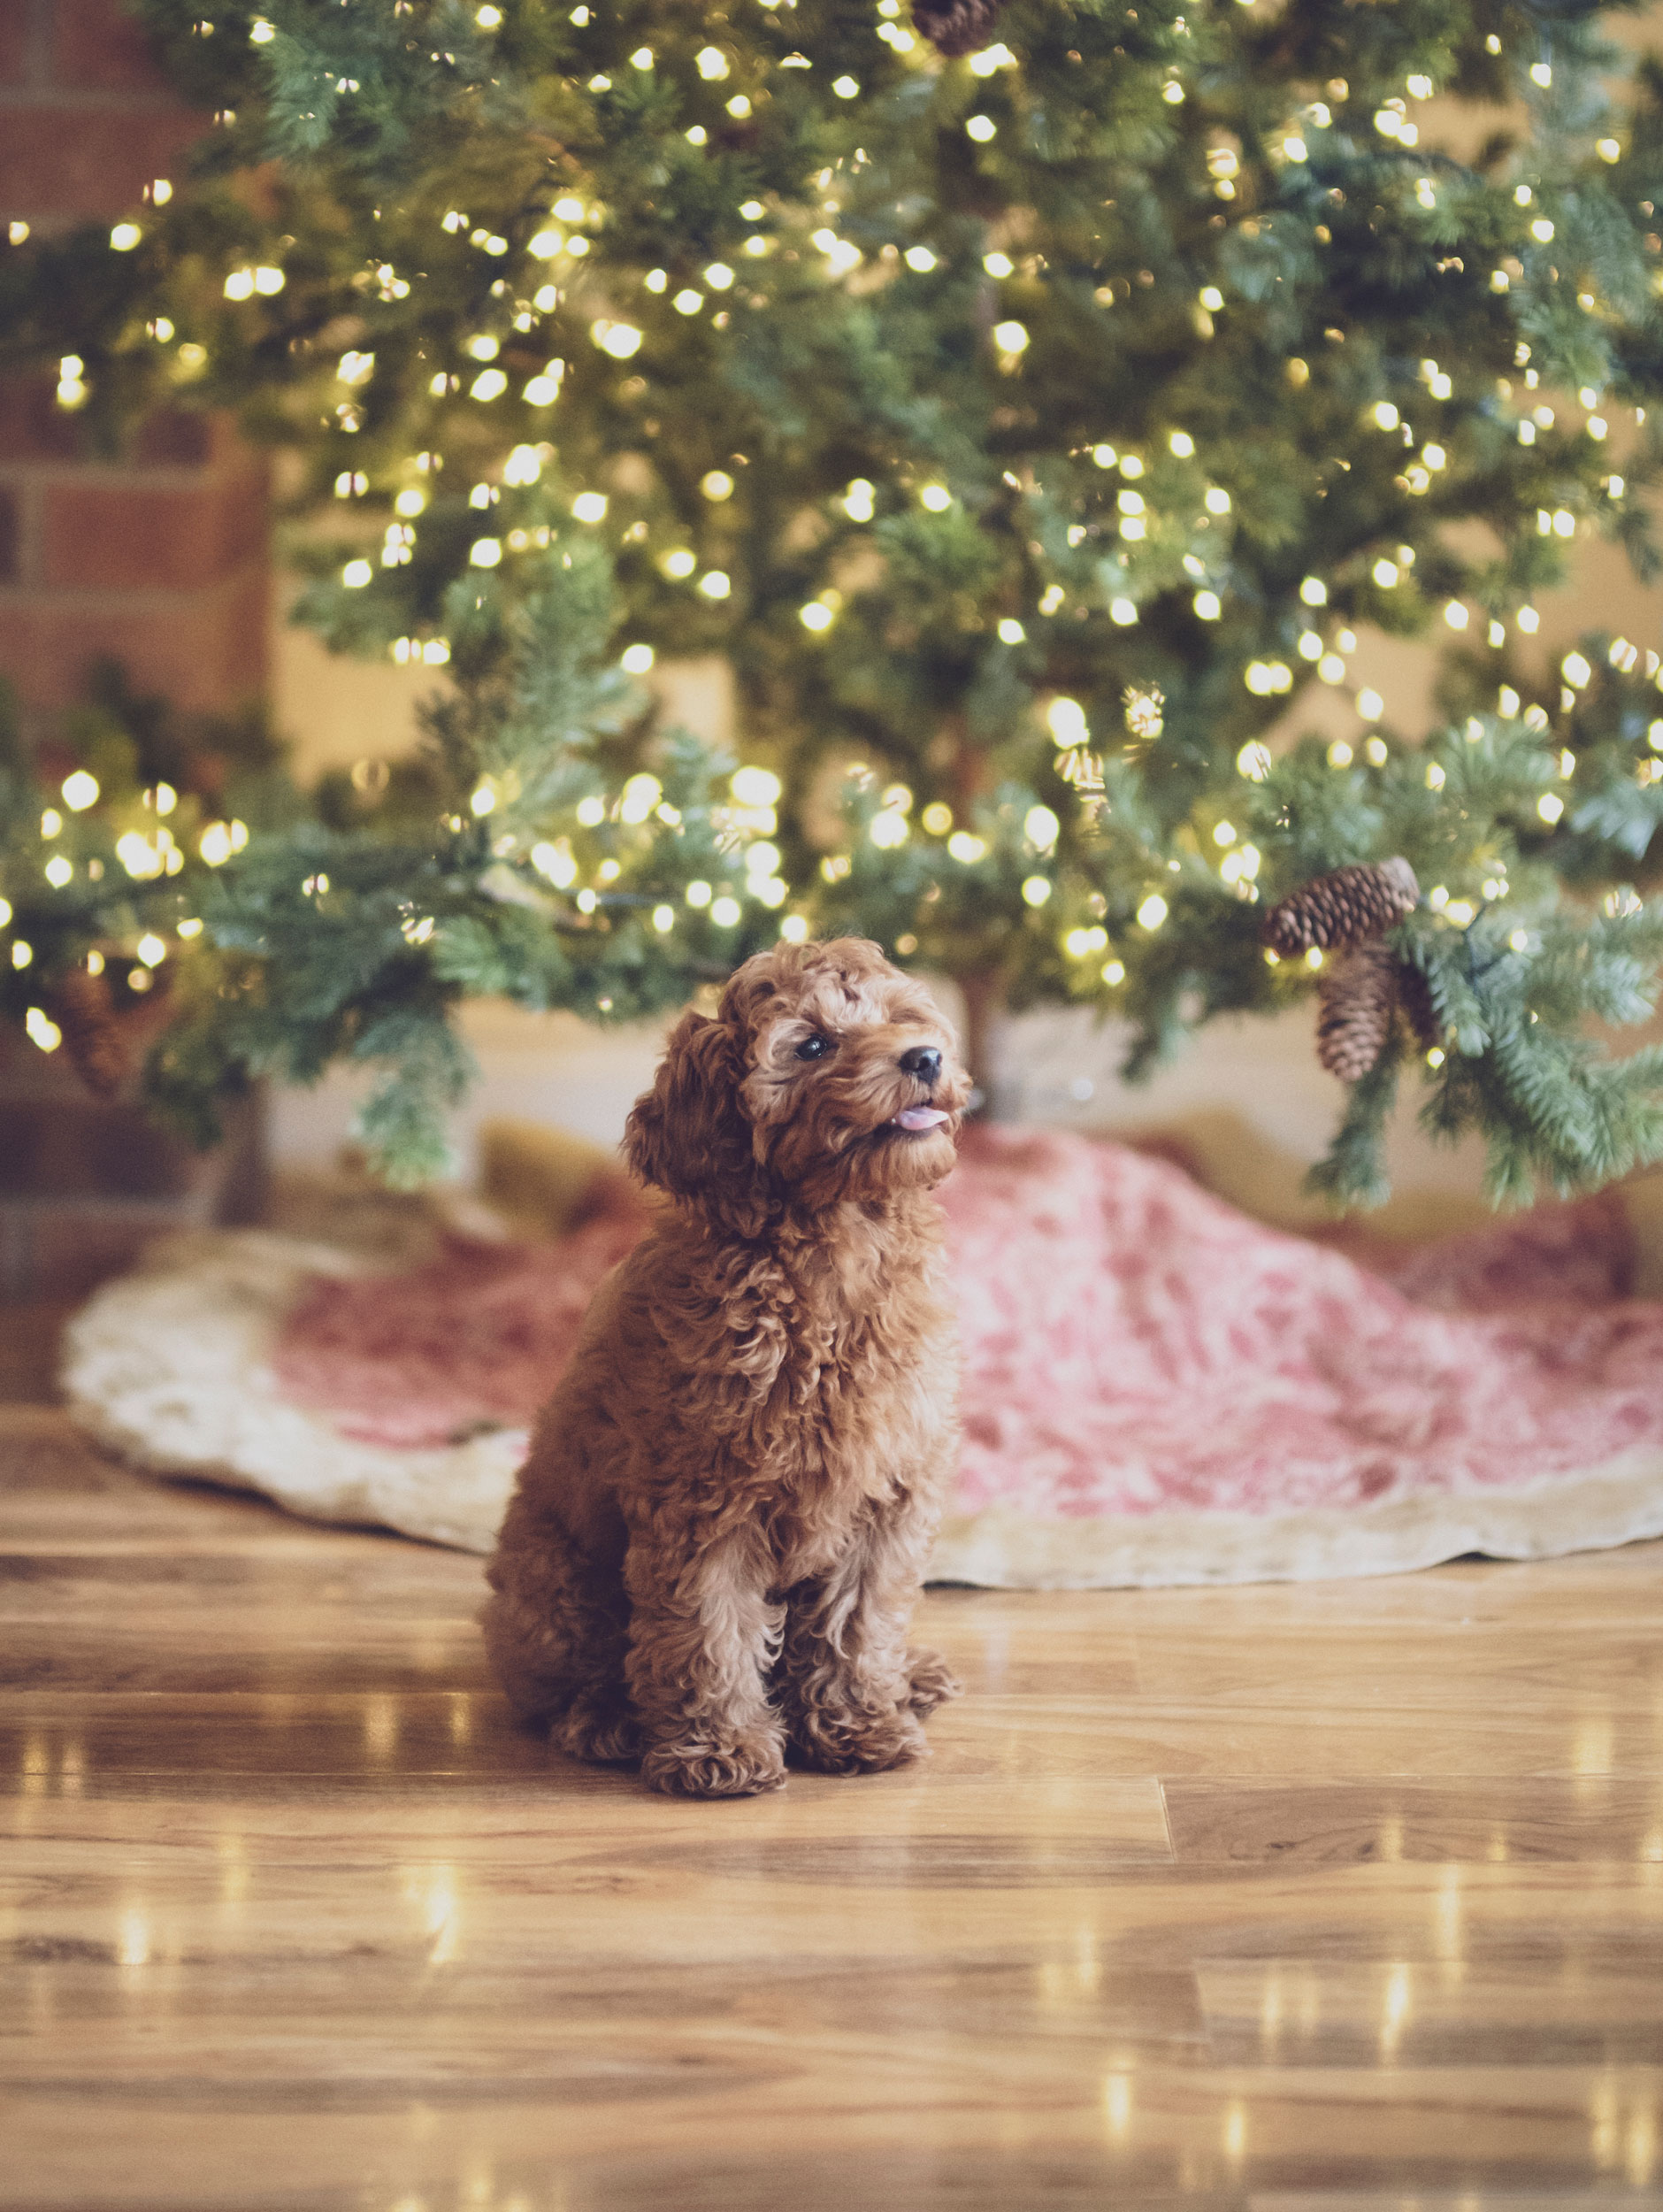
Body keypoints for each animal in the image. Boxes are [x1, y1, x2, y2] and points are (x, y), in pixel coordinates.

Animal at [479, 933, 969, 1796]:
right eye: (812, 1045)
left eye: (902, 1016)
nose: (926, 1056)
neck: (835, 1248)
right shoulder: (705, 1501)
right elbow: (708, 1628)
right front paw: (723, 1750)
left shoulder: (888, 1493)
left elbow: (857, 1622)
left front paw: (860, 1725)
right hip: (555, 1584)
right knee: (570, 1679)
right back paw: (607, 1721)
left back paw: (912, 1677)